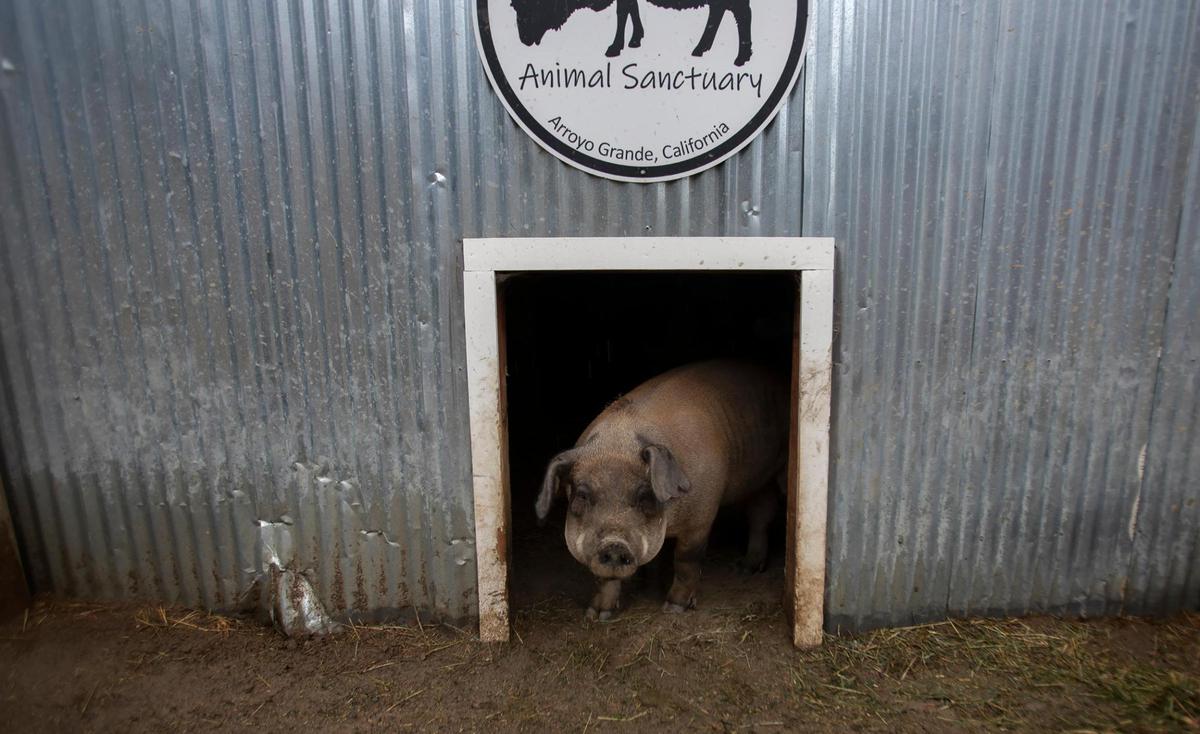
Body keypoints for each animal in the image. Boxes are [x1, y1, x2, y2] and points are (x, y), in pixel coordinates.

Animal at [535, 360, 788, 620]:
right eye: (583, 495)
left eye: (644, 495)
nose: (614, 544)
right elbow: (611, 577)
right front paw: (598, 615)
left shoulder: (701, 517)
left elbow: (686, 561)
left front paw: (673, 608)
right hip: (759, 480)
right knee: (760, 513)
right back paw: (745, 569)